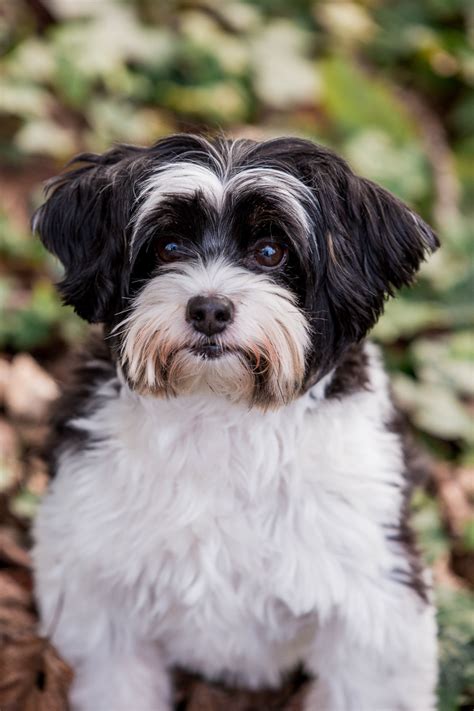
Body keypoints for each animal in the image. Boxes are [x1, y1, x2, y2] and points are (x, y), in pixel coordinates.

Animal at [32, 135, 440, 711]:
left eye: (270, 252)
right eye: (168, 248)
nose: (208, 309)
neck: (220, 410)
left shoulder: (375, 596)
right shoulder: (95, 582)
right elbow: (118, 678)